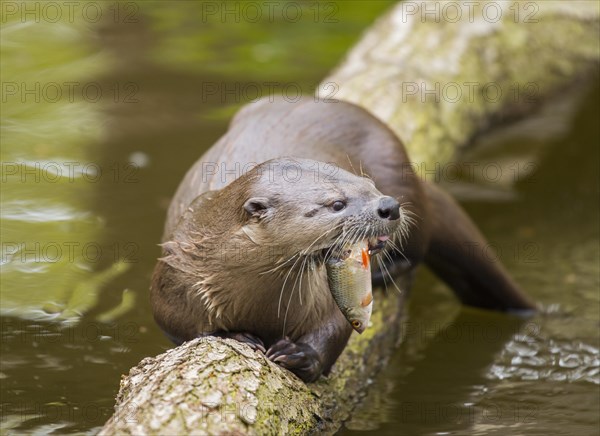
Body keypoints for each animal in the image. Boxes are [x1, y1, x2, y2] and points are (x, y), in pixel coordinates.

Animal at [151, 98, 536, 382]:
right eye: (336, 203)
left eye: (368, 185)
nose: (388, 205)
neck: (260, 307)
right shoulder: (174, 276)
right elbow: (177, 324)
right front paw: (232, 335)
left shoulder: (320, 297)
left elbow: (334, 327)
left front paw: (301, 355)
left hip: (400, 173)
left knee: (417, 246)